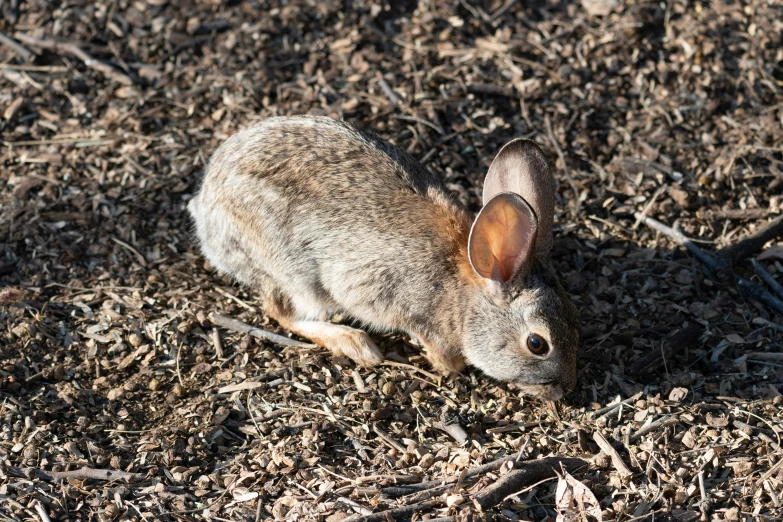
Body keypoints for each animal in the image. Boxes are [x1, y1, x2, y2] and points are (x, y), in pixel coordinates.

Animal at [188, 115, 580, 398]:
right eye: (537, 344)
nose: (566, 388)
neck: (465, 289)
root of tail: (205, 209)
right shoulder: (409, 309)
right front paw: (448, 366)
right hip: (294, 271)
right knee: (283, 313)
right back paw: (356, 343)